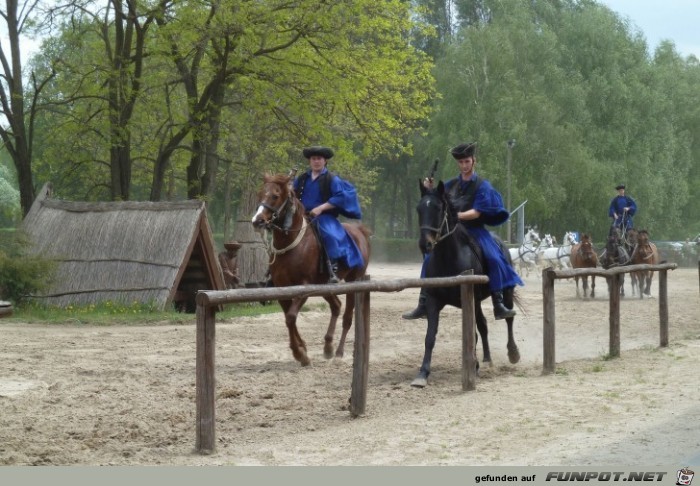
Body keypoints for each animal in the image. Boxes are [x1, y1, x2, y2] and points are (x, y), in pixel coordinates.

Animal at [252, 174, 372, 364]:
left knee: (347, 317)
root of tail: (360, 231)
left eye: (275, 196)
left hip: (354, 281)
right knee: (336, 306)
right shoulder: (282, 288)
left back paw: (339, 352)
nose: (257, 221)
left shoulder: (304, 287)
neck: (292, 245)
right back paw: (328, 346)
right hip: (324, 286)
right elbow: (288, 317)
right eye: (260, 194)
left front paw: (300, 353)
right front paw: (302, 348)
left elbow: (291, 317)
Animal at [410, 180, 520, 390]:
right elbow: (430, 337)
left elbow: (473, 334)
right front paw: (422, 373)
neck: (448, 258)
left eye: (438, 208)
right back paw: (487, 359)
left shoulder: (471, 300)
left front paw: (473, 366)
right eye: (418, 209)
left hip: (506, 292)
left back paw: (512, 352)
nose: (424, 245)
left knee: (508, 318)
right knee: (484, 325)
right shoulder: (434, 302)